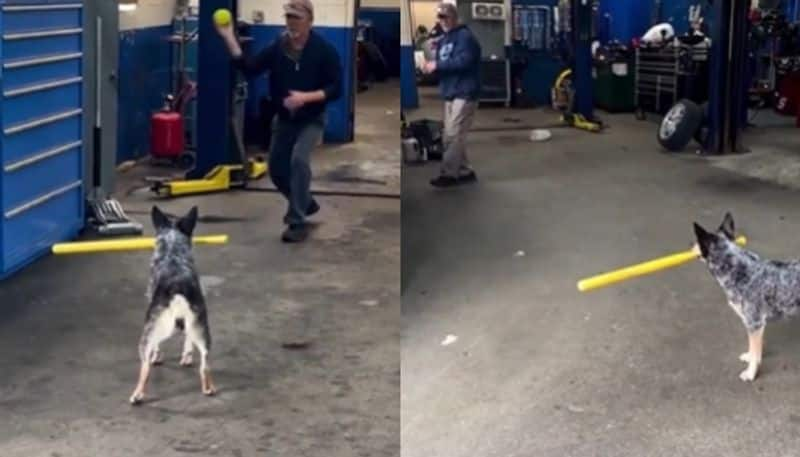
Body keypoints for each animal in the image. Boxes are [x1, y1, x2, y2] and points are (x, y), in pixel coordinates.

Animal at [130, 206, 216, 402]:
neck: (173, 250)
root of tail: (177, 290)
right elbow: (188, 340)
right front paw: (187, 356)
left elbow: (156, 347)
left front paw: (157, 356)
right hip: (202, 330)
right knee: (205, 364)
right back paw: (209, 388)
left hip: (146, 336)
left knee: (145, 368)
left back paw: (137, 395)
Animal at [692, 213, 800, 382]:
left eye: (697, 241)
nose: (690, 243)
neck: (739, 269)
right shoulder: (754, 324)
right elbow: (754, 349)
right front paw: (750, 357)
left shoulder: (754, 323)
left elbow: (755, 352)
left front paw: (750, 373)